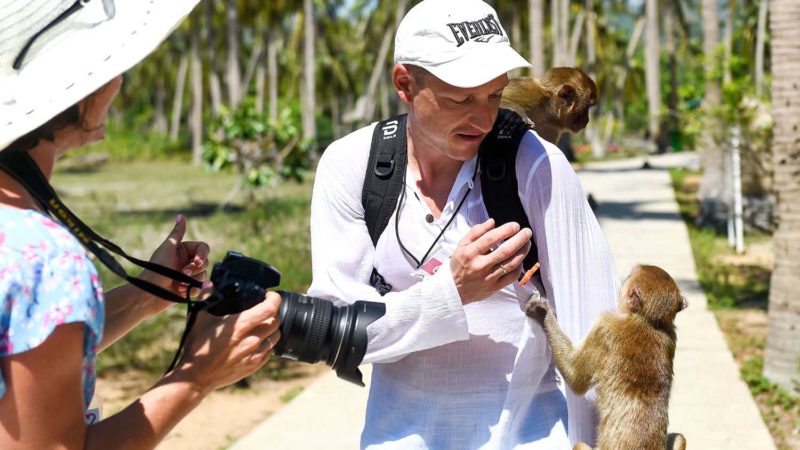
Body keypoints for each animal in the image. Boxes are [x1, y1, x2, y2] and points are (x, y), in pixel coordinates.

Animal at [524, 264, 688, 450]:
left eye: (629, 277)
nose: (623, 280)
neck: (649, 322)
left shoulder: (605, 326)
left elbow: (576, 378)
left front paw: (542, 313)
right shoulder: (670, 334)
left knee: (579, 445)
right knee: (680, 438)